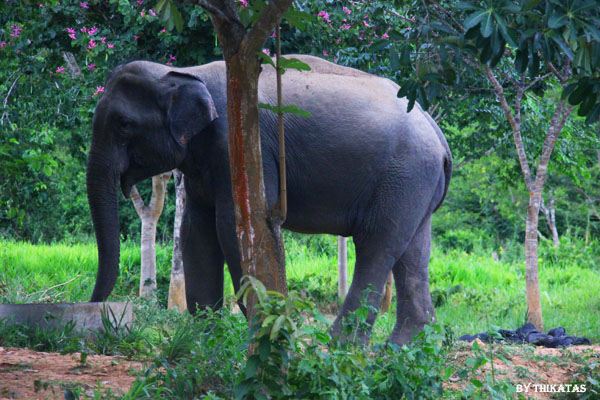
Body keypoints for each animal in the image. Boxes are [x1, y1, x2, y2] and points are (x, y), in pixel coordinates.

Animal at [88, 54, 450, 346]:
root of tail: (435, 129)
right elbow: (196, 230)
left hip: (403, 176)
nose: (96, 308)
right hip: (415, 184)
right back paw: (403, 347)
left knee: (377, 245)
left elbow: (233, 224)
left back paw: (337, 344)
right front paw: (207, 339)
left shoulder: (241, 148)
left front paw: (263, 329)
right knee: (413, 251)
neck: (186, 72)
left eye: (124, 124)